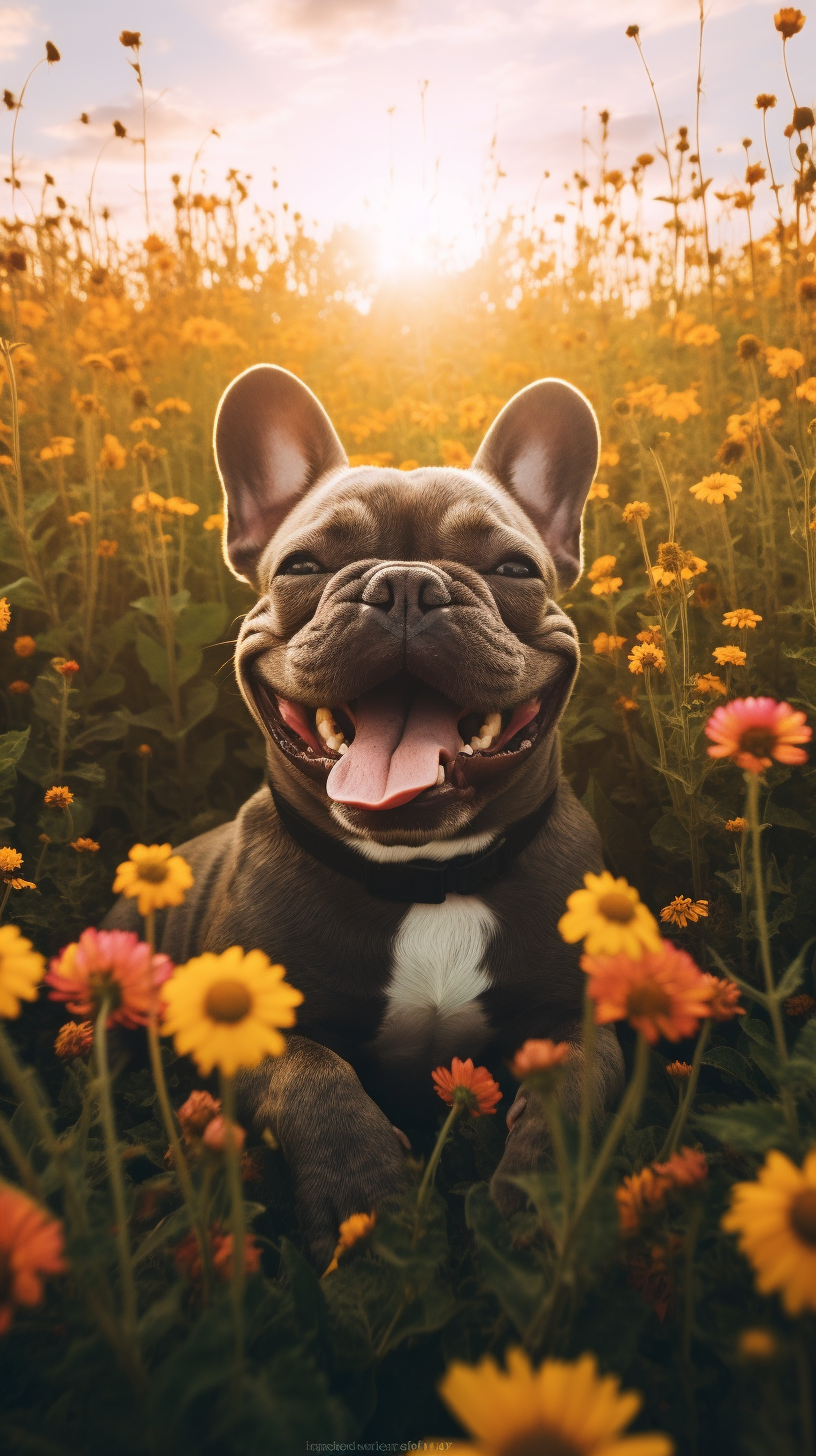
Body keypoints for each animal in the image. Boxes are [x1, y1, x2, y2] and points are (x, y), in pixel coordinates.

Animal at [104, 366, 620, 1275]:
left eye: (515, 568)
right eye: (303, 565)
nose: (406, 583)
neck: (427, 880)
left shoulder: (583, 1017)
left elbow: (572, 1092)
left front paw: (534, 1207)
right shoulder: (246, 1032)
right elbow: (316, 1081)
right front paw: (367, 1208)